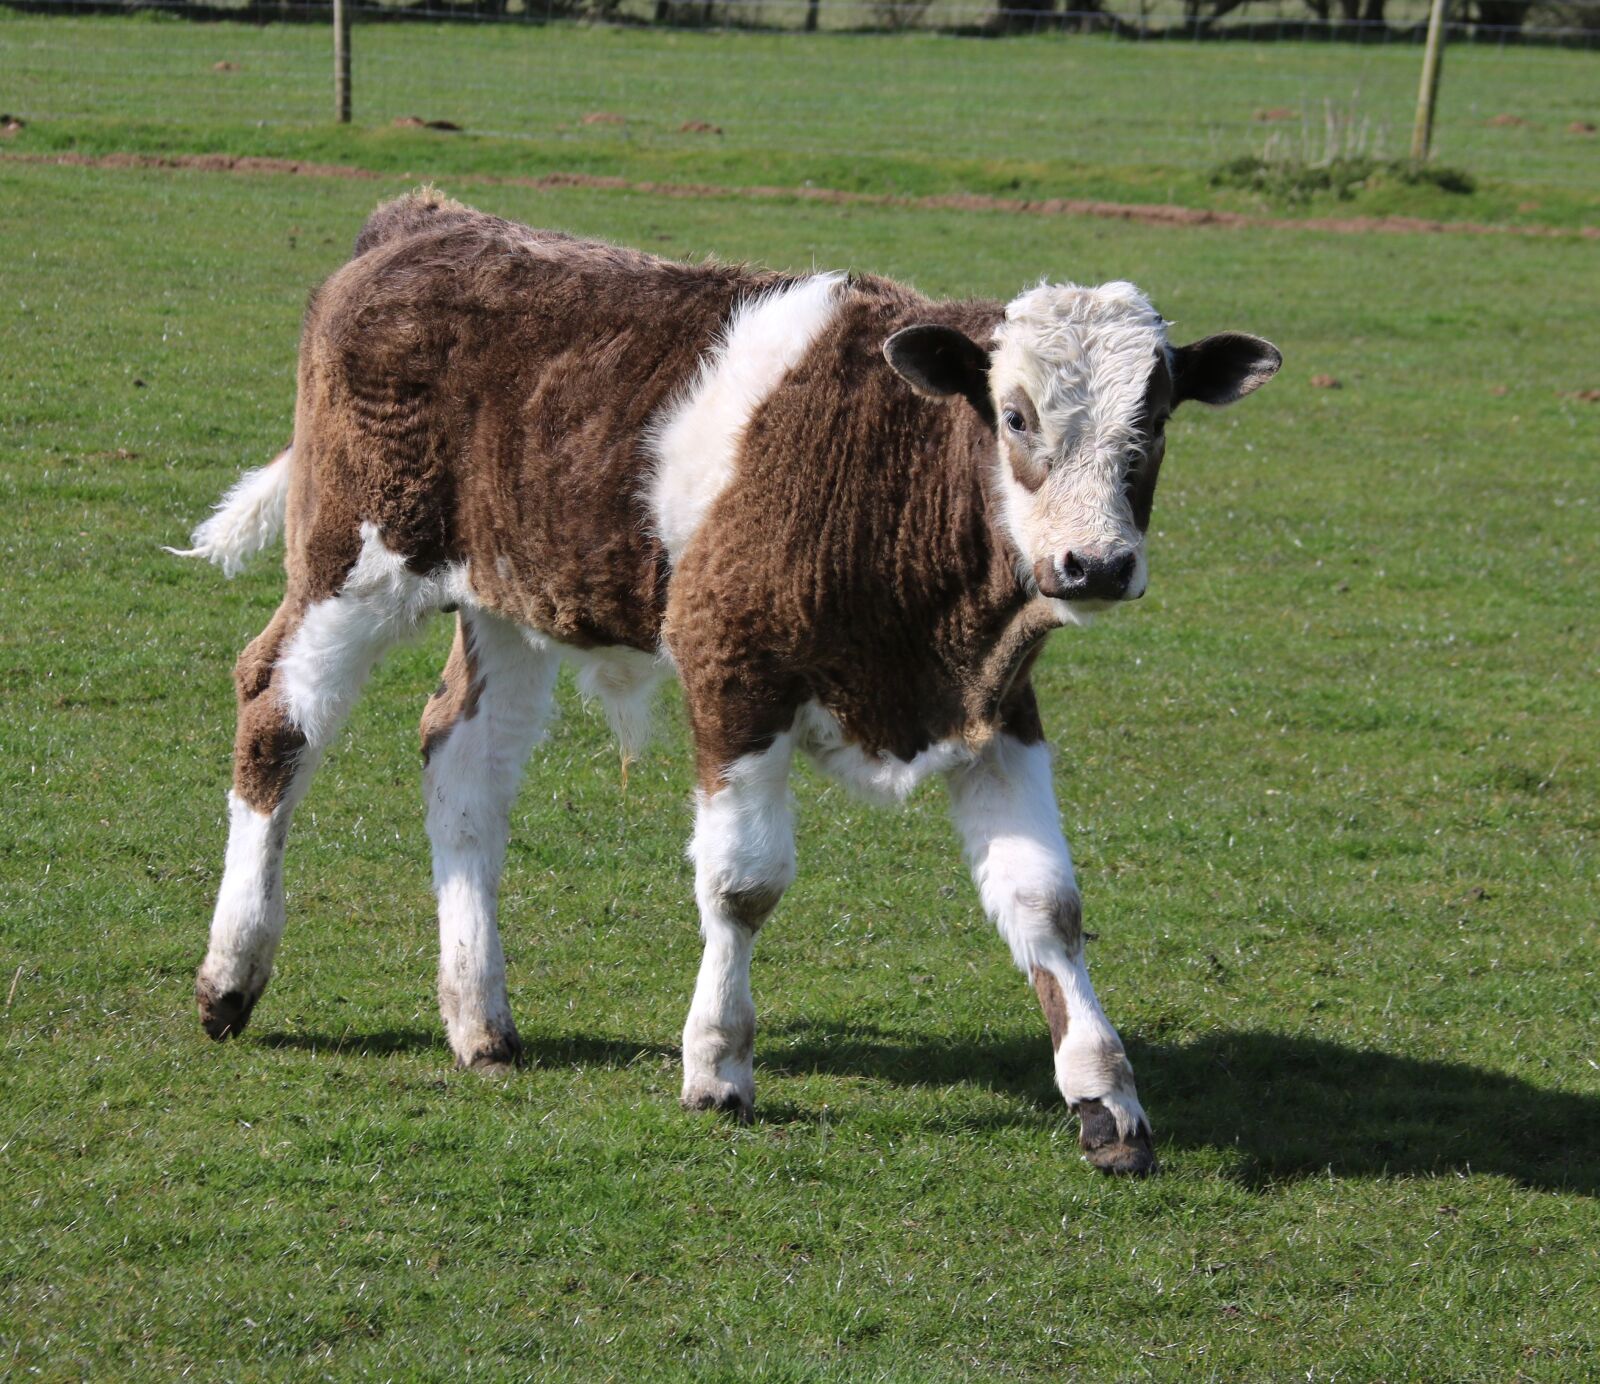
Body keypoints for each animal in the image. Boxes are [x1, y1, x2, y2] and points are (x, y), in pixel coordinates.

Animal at [178, 186, 1273, 1177]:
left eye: (1155, 420)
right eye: (1014, 414)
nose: (1095, 565)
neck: (892, 469)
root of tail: (427, 222)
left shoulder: (991, 705)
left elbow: (1047, 900)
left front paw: (1105, 1096)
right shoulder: (731, 671)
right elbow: (743, 883)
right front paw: (717, 1065)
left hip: (508, 597)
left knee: (462, 764)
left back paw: (477, 1017)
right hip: (351, 560)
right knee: (276, 717)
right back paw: (232, 973)